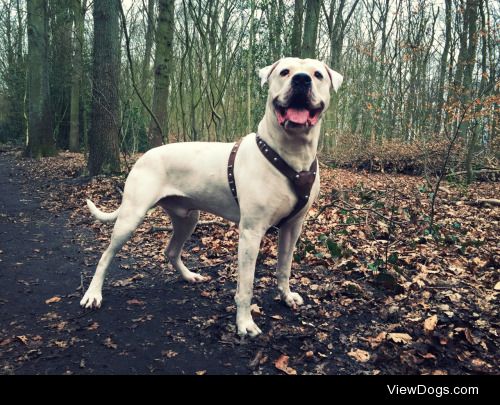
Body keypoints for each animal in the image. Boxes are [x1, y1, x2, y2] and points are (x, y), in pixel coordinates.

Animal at [81, 56, 344, 334]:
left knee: (171, 251)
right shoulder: (251, 233)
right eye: (284, 72)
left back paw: (189, 276)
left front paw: (286, 296)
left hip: (188, 218)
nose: (301, 79)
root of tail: (144, 156)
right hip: (132, 217)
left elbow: (285, 267)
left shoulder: (293, 228)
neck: (291, 155)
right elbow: (246, 285)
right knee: (106, 255)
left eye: (317, 75)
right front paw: (244, 323)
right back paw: (93, 294)